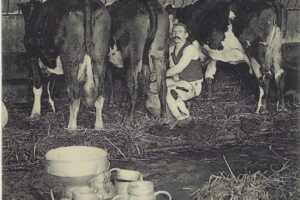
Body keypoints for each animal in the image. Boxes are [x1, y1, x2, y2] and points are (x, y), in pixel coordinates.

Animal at [18, 0, 110, 130]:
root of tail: (86, 2)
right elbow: (51, 85)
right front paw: (52, 108)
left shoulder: (32, 54)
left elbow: (37, 85)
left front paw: (35, 113)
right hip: (100, 56)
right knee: (99, 94)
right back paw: (99, 125)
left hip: (69, 59)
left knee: (74, 95)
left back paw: (71, 127)